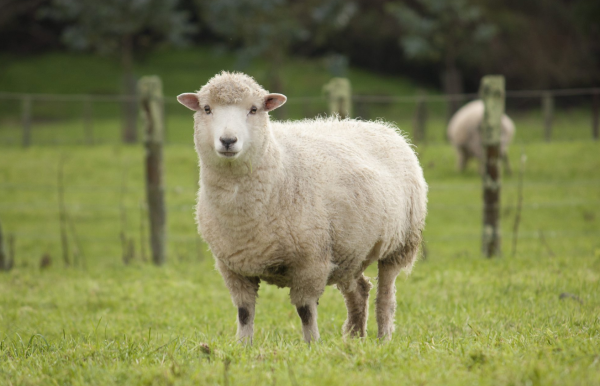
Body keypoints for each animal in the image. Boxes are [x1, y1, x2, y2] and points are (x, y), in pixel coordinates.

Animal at [176, 72, 428, 344]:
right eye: (207, 109)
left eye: (254, 109)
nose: (228, 140)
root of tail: (382, 126)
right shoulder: (233, 267)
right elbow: (244, 312)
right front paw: (243, 346)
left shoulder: (311, 262)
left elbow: (305, 311)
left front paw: (312, 345)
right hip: (349, 250)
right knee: (360, 290)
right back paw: (354, 338)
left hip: (400, 244)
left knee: (386, 297)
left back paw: (383, 339)